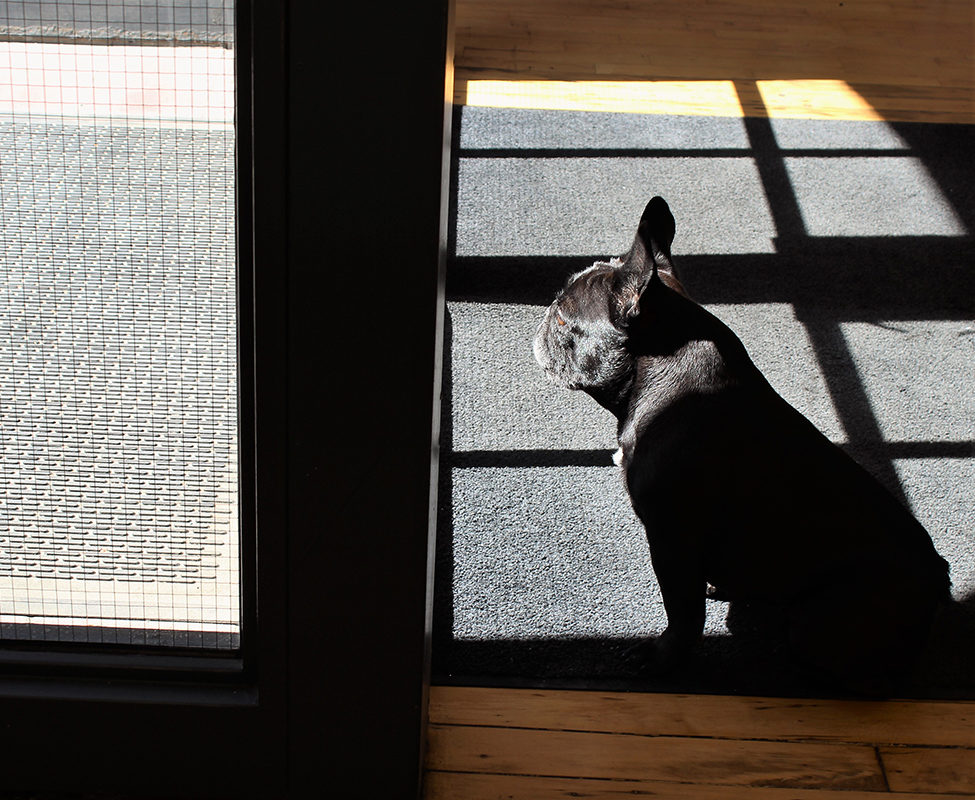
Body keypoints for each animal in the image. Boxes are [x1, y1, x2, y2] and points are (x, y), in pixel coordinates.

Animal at [532, 195, 952, 692]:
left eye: (563, 317)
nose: (542, 317)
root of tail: (937, 576)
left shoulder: (671, 539)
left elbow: (683, 613)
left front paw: (663, 658)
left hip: (820, 622)